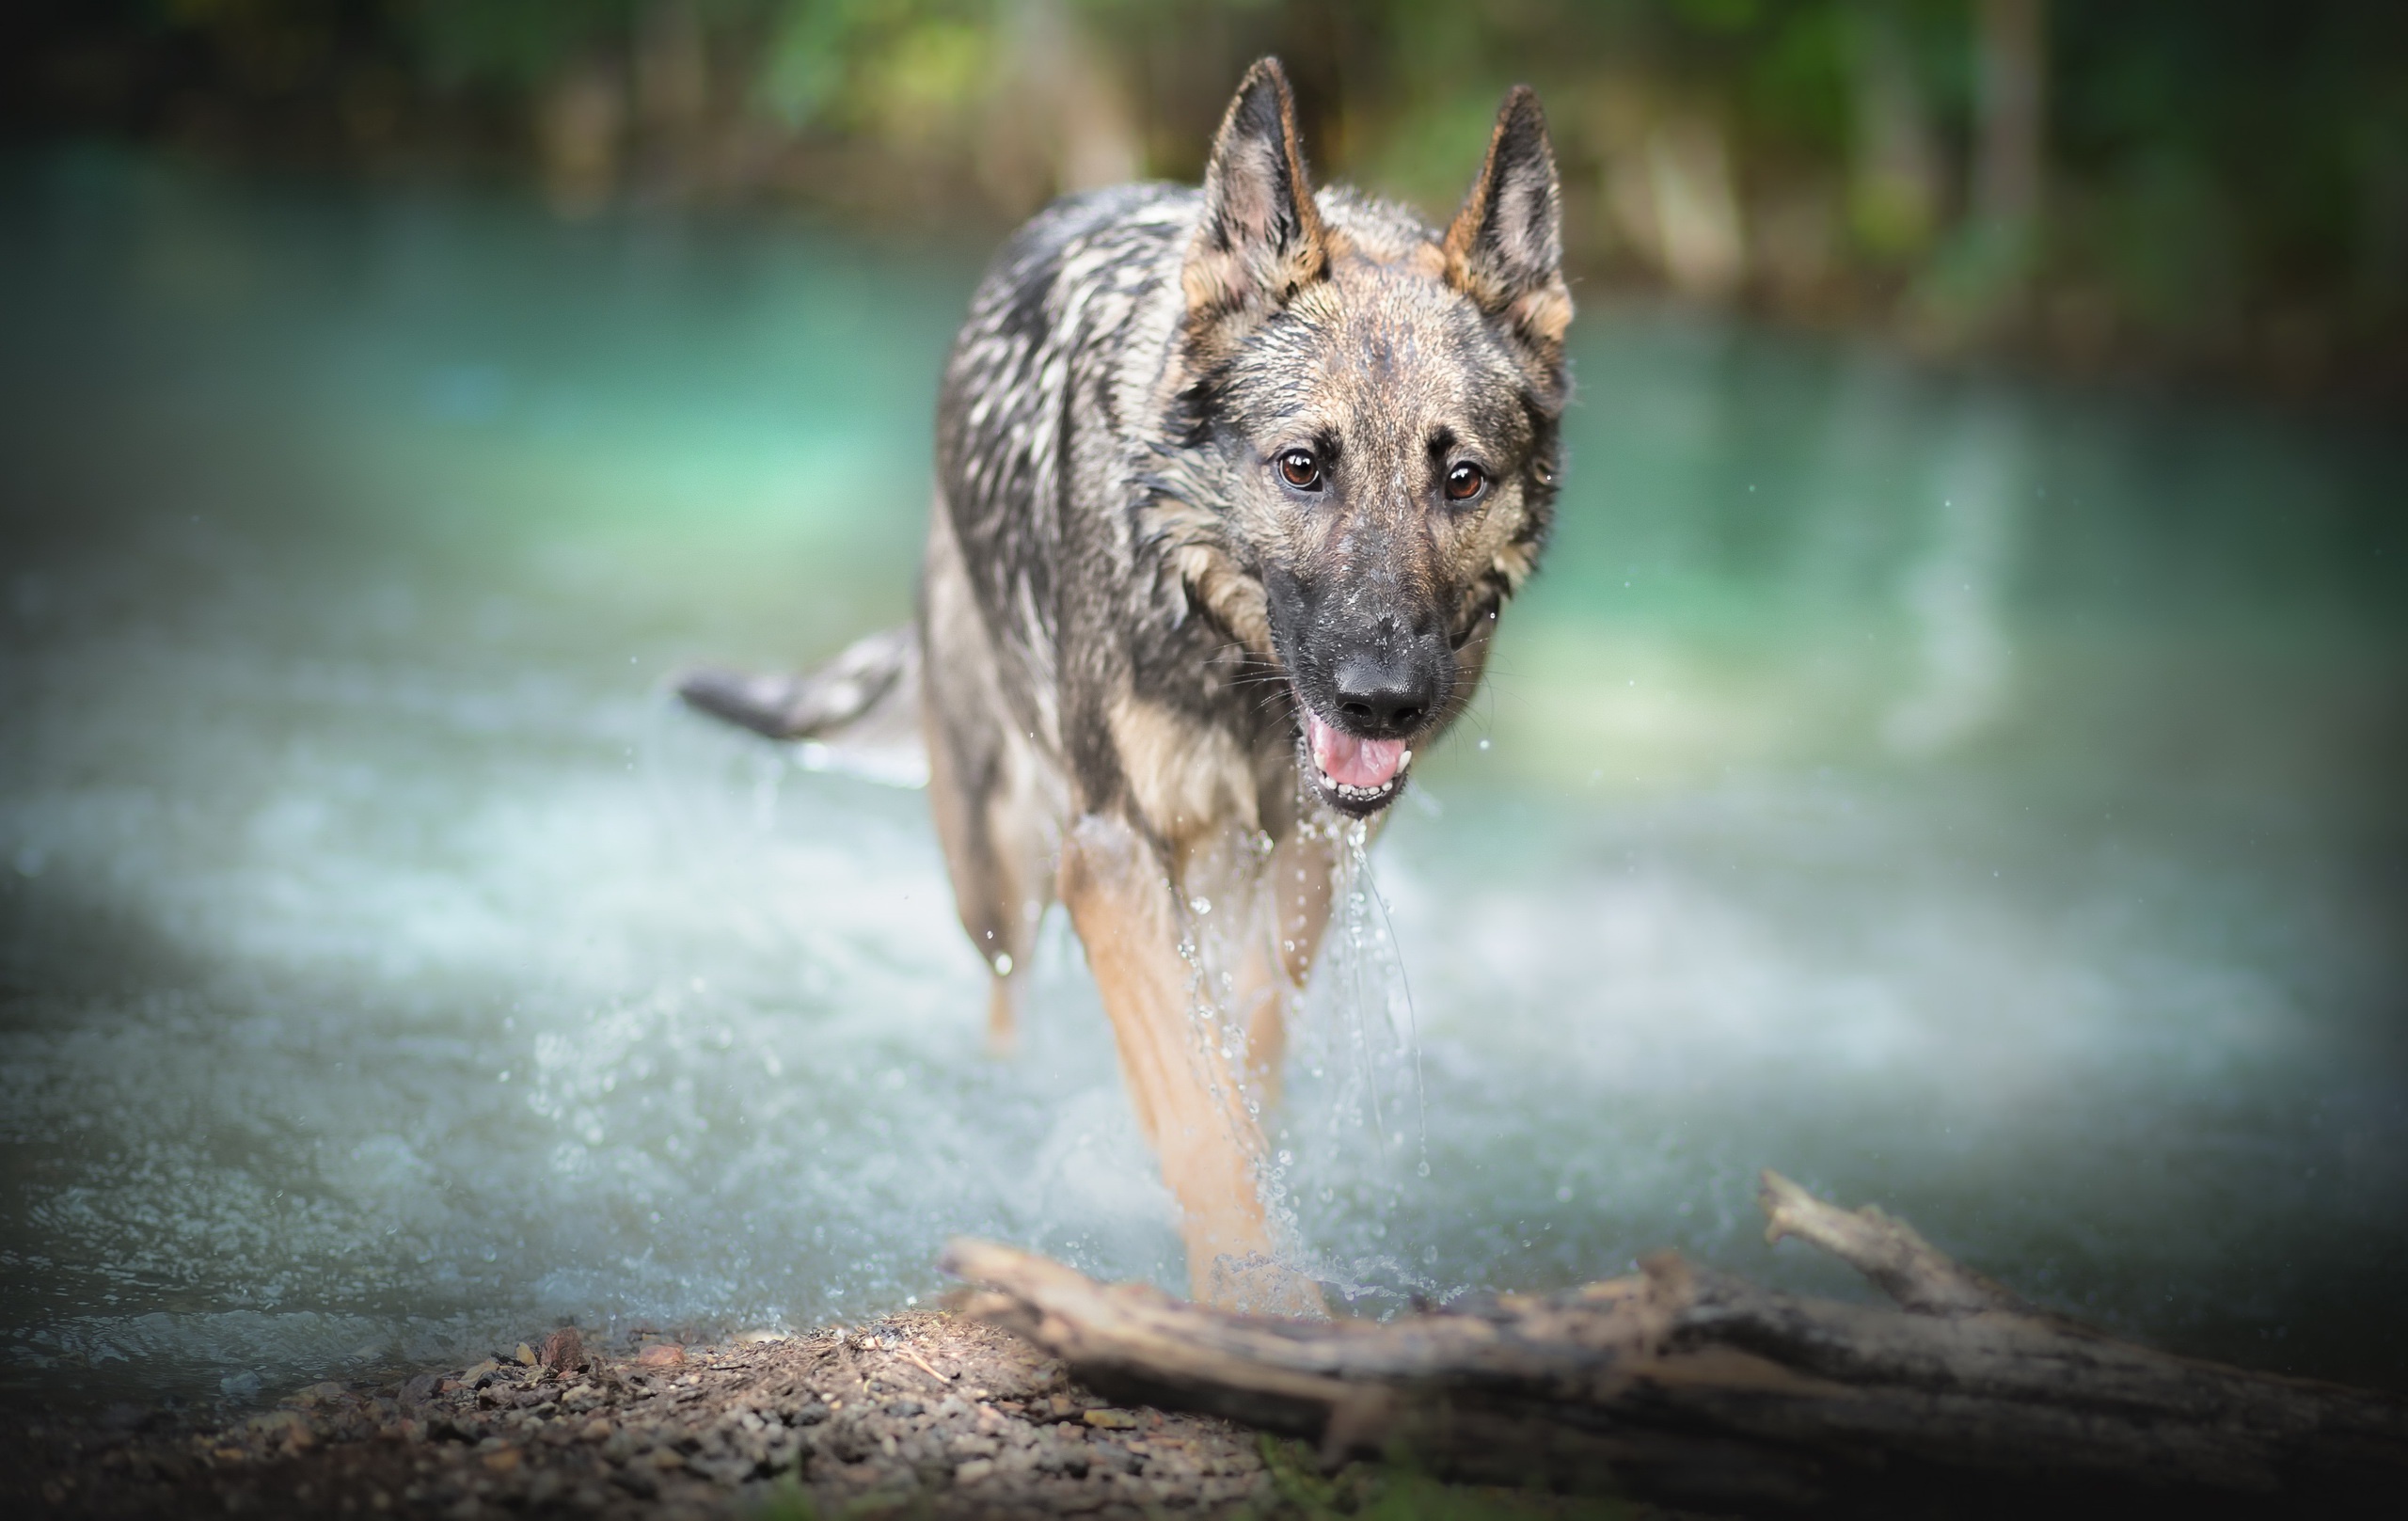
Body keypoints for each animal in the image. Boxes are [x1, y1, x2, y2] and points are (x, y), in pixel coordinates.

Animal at [689, 59, 1570, 1308]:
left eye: (1461, 480)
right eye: (1303, 468)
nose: (1384, 698)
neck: (1230, 659)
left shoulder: (1302, 864)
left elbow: (1239, 1066)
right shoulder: (1107, 855)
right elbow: (1195, 1109)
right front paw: (1256, 1295)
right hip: (998, 869)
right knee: (1006, 1006)